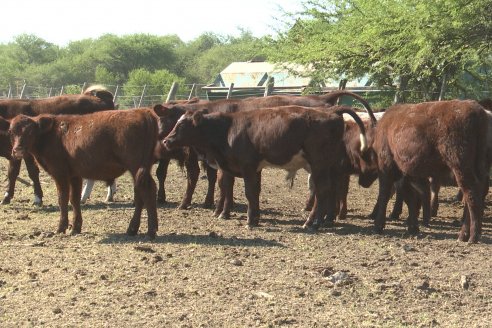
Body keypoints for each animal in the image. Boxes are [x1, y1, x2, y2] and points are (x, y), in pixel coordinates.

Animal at [366, 100, 488, 243]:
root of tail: (477, 110)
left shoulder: (386, 167)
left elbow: (384, 194)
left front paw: (378, 226)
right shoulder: (406, 173)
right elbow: (410, 197)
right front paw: (413, 227)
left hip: (460, 167)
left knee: (471, 196)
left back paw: (471, 236)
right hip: (478, 167)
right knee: (475, 194)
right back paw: (466, 234)